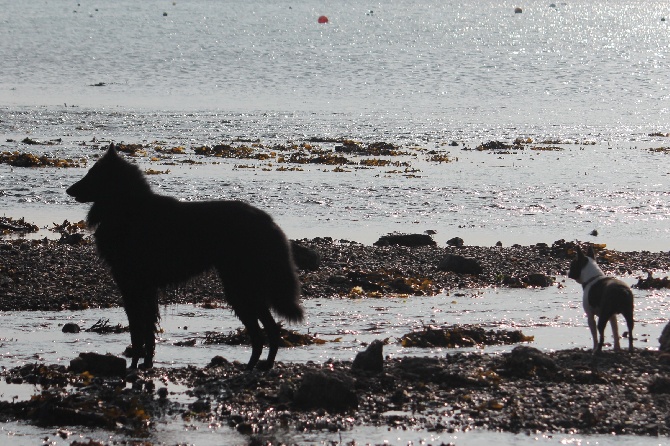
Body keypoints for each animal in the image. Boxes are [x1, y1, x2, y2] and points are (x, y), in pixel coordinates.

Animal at [66, 145, 304, 370]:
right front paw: (146, 363)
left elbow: (137, 332)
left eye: (92, 174)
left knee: (264, 333)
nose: (68, 190)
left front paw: (134, 365)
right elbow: (148, 332)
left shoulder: (132, 287)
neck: (129, 209)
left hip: (240, 290)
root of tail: (268, 221)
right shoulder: (146, 289)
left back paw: (256, 366)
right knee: (267, 332)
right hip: (243, 290)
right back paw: (258, 366)